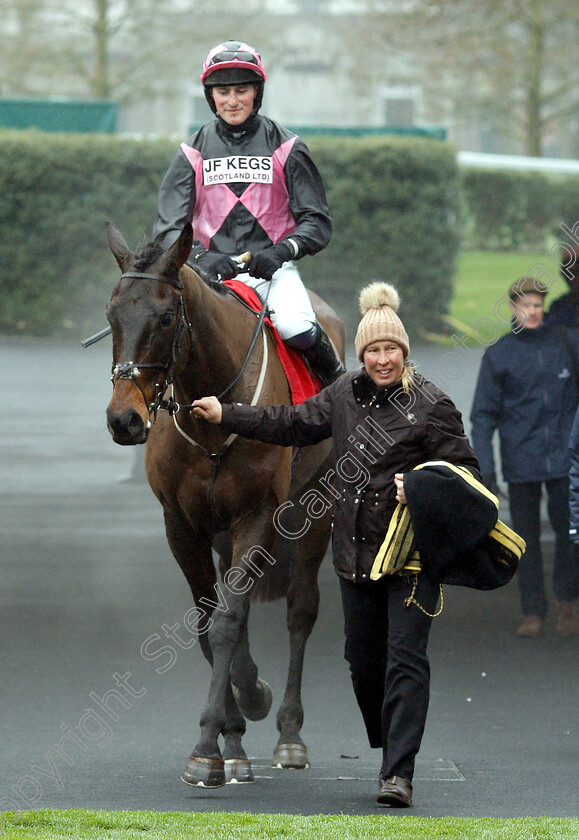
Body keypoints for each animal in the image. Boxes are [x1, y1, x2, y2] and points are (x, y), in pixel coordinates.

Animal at [104, 223, 346, 788]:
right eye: (111, 315)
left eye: (165, 317)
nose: (124, 419)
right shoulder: (183, 524)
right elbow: (208, 625)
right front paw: (229, 733)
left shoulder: (255, 515)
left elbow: (228, 622)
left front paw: (207, 745)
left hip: (317, 509)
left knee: (301, 609)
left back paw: (289, 734)